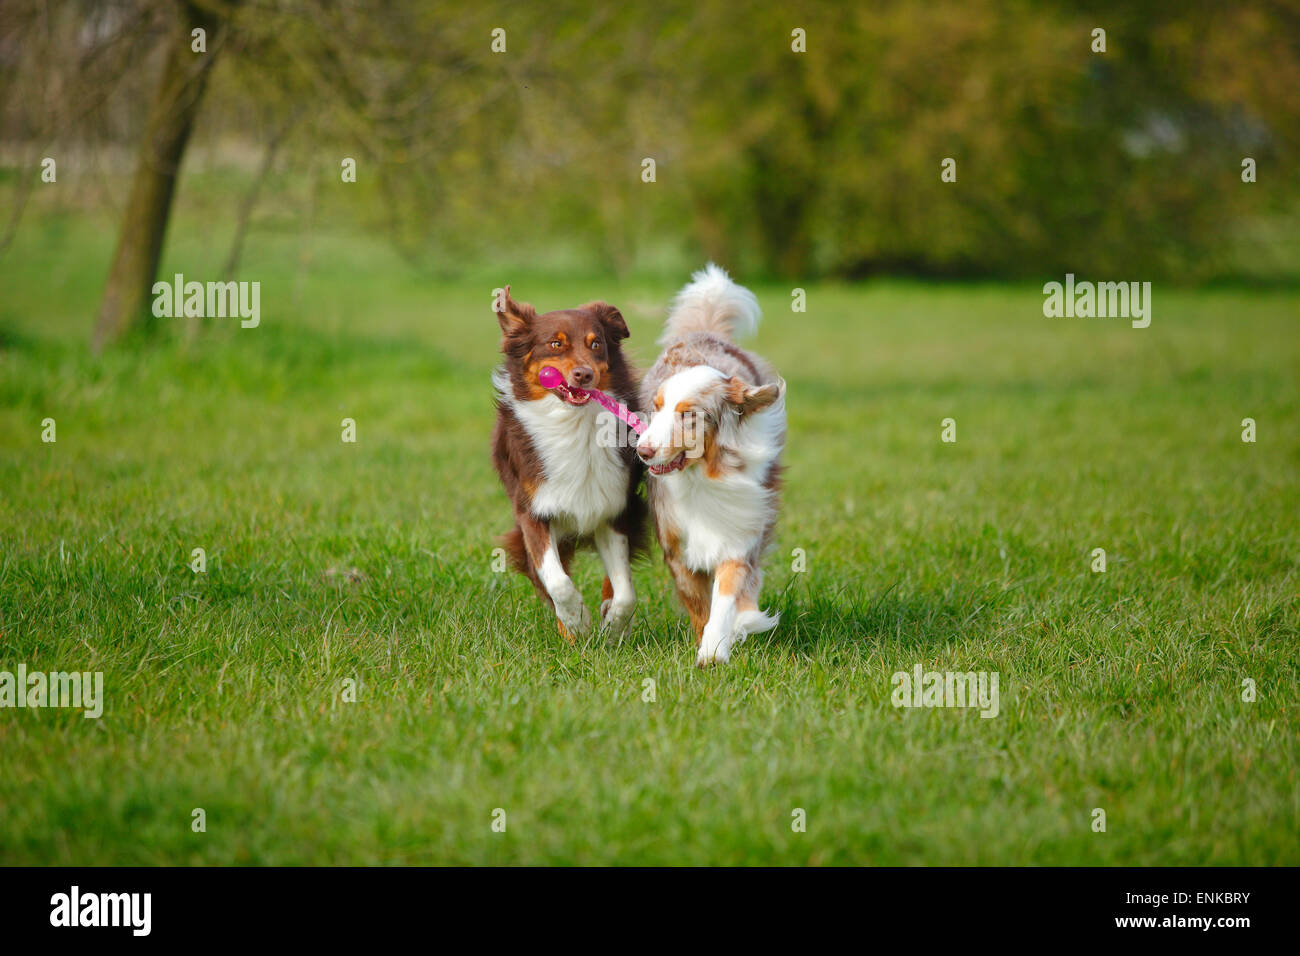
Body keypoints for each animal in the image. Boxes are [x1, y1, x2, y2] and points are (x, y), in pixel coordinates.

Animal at [491, 283, 644, 642]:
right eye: (555, 344)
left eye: (596, 344)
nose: (584, 374)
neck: (574, 424)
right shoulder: (532, 512)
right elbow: (557, 580)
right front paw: (576, 621)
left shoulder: (615, 508)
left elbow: (625, 593)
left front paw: (613, 626)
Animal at [637, 261, 785, 665]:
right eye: (656, 408)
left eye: (689, 416)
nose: (642, 450)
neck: (701, 475)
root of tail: (703, 332)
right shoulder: (676, 546)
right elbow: (699, 604)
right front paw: (709, 640)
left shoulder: (739, 529)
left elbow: (727, 595)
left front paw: (716, 648)